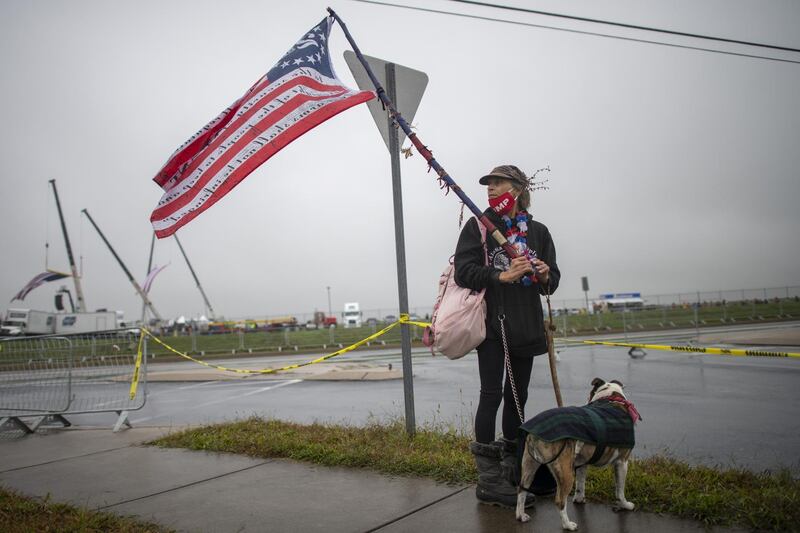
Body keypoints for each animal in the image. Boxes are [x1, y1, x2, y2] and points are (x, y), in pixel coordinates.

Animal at [516, 378, 640, 528]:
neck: (610, 398)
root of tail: (535, 434)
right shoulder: (622, 462)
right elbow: (620, 490)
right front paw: (625, 505)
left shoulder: (583, 463)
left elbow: (581, 483)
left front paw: (579, 498)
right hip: (566, 472)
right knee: (560, 500)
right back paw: (568, 525)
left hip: (529, 465)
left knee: (521, 489)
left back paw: (521, 515)